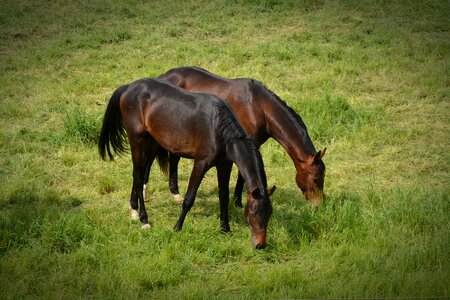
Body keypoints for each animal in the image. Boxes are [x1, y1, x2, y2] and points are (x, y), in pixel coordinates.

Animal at [98, 77, 274, 248]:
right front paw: (177, 227)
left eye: (269, 213)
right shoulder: (201, 163)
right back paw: (143, 219)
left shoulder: (224, 165)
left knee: (138, 174)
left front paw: (225, 228)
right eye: (253, 212)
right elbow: (189, 198)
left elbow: (223, 197)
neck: (220, 129)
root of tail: (128, 87)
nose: (260, 245)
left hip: (150, 140)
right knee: (139, 176)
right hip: (136, 140)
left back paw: (134, 210)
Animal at [156, 65, 326, 206]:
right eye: (316, 178)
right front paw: (237, 201)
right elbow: (241, 174)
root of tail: (162, 77)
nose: (319, 204)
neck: (259, 107)